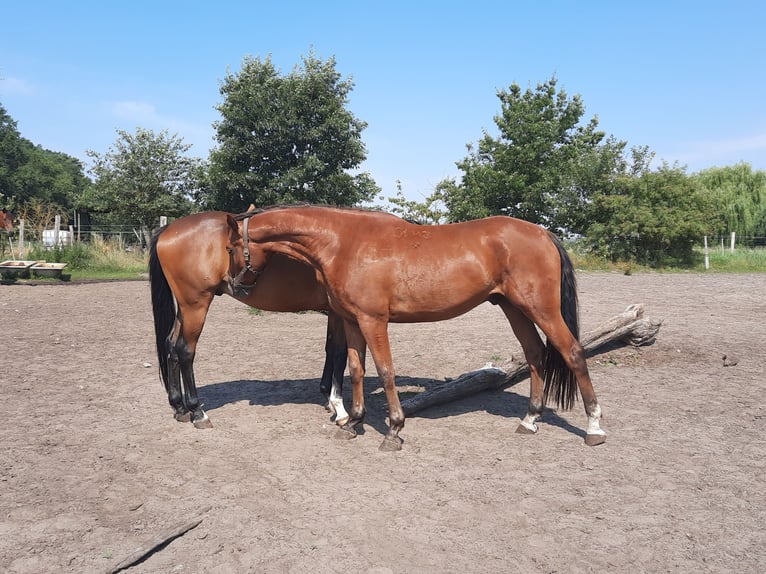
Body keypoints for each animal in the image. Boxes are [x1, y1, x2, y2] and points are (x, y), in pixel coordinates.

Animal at [148, 210, 352, 428]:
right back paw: (197, 412)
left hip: (185, 309)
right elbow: (340, 354)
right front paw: (339, 408)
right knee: (185, 351)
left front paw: (327, 396)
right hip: (196, 306)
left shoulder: (333, 313)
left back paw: (179, 407)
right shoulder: (341, 314)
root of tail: (167, 229)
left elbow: (330, 349)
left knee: (171, 346)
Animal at [228, 207, 608, 454]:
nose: (234, 284)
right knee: (535, 355)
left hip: (542, 310)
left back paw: (594, 428)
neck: (345, 243)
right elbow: (355, 370)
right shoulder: (351, 321)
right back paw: (529, 419)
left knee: (572, 352)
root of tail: (543, 233)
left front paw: (393, 430)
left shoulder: (373, 321)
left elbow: (385, 371)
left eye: (231, 247)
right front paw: (352, 423)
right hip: (514, 309)